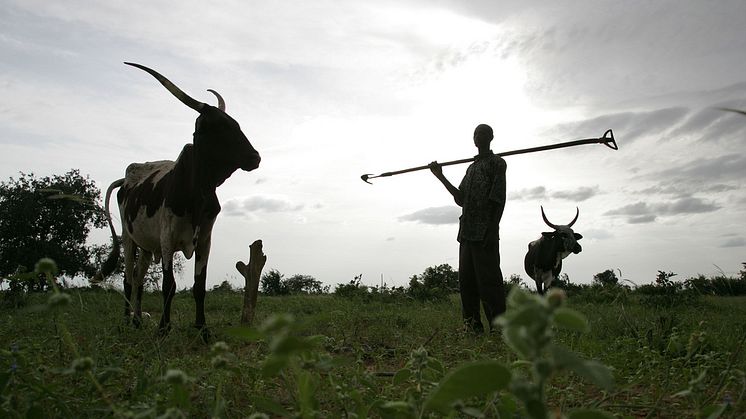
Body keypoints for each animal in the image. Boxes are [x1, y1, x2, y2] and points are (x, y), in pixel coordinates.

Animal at [95, 63, 262, 338]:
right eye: (217, 127)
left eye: (236, 125)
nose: (255, 157)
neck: (197, 193)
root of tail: (126, 179)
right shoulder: (167, 237)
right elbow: (169, 285)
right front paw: (163, 329)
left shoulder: (205, 239)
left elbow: (199, 286)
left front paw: (202, 329)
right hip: (129, 238)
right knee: (128, 279)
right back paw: (126, 322)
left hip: (146, 246)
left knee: (139, 279)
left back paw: (137, 320)